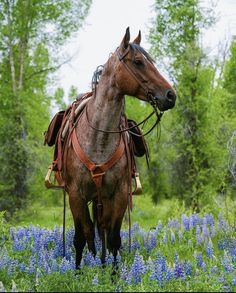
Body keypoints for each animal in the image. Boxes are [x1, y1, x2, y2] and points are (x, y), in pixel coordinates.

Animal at [60, 28, 175, 270]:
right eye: (138, 62)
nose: (171, 95)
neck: (99, 138)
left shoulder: (119, 194)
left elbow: (113, 238)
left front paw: (112, 274)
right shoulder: (75, 194)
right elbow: (80, 237)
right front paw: (78, 272)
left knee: (102, 229)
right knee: (91, 231)